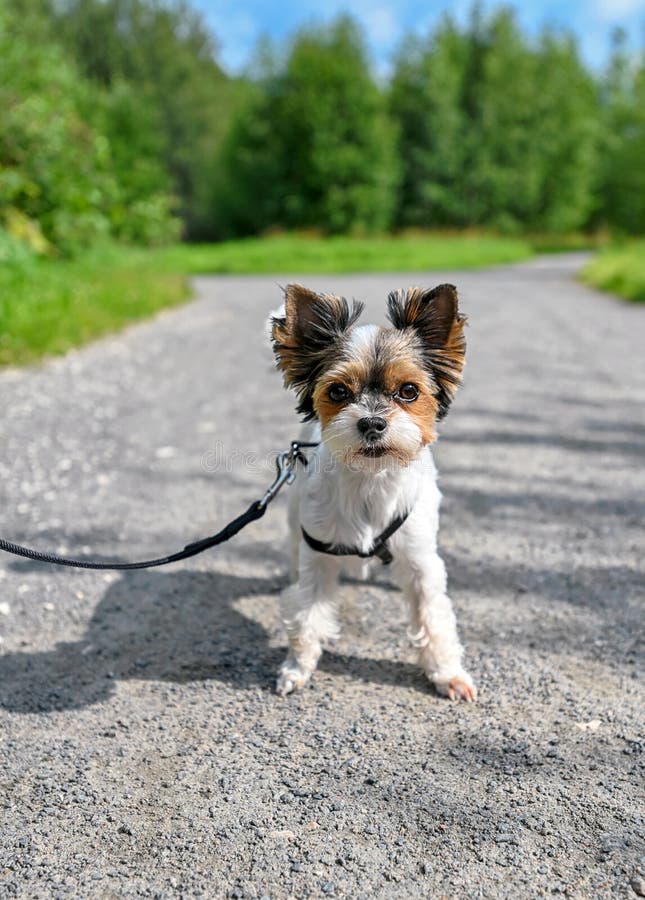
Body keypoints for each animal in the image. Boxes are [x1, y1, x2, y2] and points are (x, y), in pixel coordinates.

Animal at [270, 284, 476, 704]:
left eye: (409, 391)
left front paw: (447, 674)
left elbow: (434, 619)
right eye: (337, 391)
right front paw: (297, 668)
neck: (370, 481)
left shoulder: (421, 562)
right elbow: (307, 615)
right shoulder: (318, 555)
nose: (372, 422)